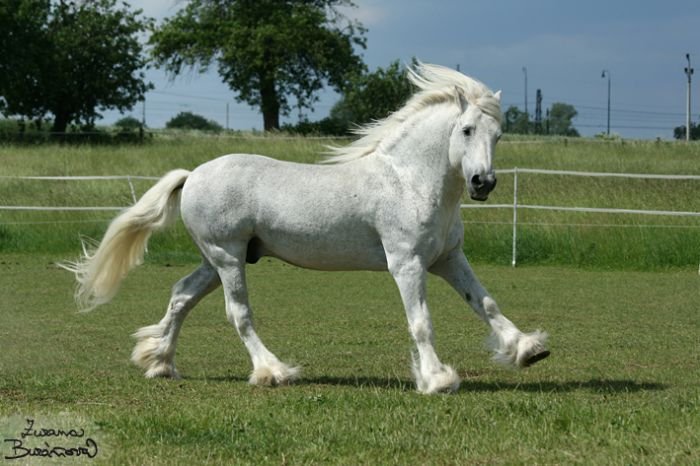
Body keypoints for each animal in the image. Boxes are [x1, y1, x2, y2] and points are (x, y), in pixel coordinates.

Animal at [62, 63, 549, 394]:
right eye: (465, 130)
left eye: (498, 135)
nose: (483, 183)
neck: (407, 179)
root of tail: (194, 174)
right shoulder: (407, 264)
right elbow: (421, 322)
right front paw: (437, 379)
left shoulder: (448, 259)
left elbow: (485, 302)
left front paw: (527, 349)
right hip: (227, 257)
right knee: (238, 313)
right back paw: (273, 372)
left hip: (218, 259)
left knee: (181, 295)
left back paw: (160, 362)